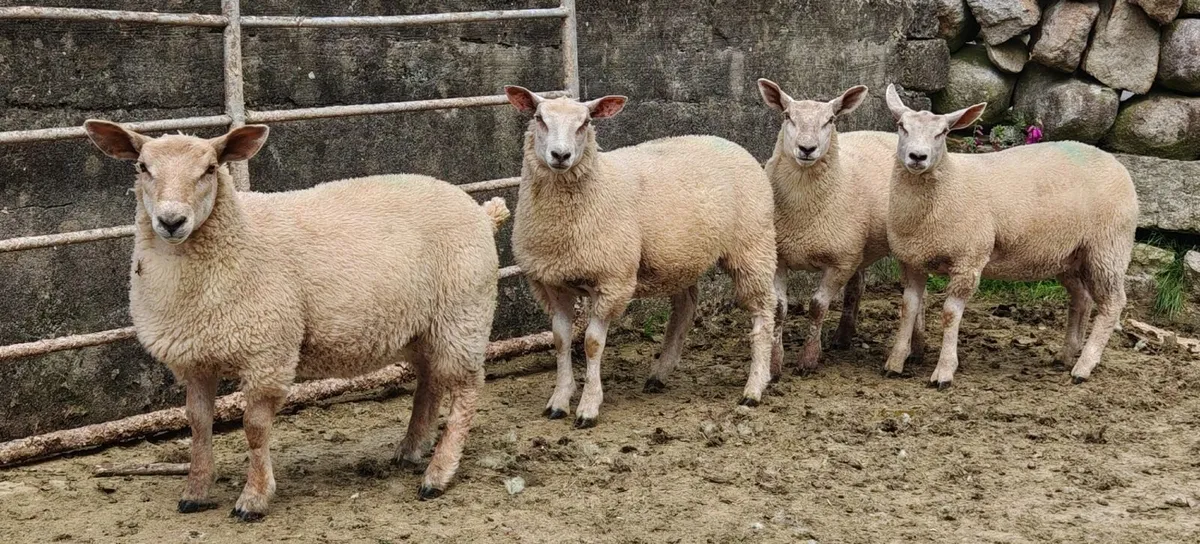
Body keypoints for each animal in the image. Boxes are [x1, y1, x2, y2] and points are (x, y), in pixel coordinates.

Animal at [82, 120, 509, 521]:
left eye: (210, 168)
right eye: (142, 167)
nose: (172, 221)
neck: (238, 237)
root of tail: (480, 212)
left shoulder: (267, 352)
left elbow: (254, 429)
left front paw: (253, 499)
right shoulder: (196, 359)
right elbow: (198, 424)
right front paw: (195, 493)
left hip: (463, 314)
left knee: (466, 390)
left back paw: (438, 473)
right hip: (424, 326)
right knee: (430, 381)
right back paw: (411, 448)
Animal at [502, 85, 777, 428]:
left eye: (585, 122)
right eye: (539, 118)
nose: (561, 156)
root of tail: (732, 143)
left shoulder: (612, 280)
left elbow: (592, 344)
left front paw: (588, 406)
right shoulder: (552, 282)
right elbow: (561, 340)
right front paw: (559, 401)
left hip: (753, 244)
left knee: (764, 311)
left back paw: (754, 387)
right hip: (680, 257)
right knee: (685, 307)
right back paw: (660, 374)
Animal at [756, 79, 900, 374]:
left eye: (831, 120)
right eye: (787, 116)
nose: (806, 148)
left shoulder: (840, 262)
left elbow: (817, 307)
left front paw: (809, 359)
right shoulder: (778, 257)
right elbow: (780, 309)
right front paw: (775, 363)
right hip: (859, 246)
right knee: (857, 286)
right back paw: (843, 337)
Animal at [881, 84, 1138, 388]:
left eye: (943, 132)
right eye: (901, 126)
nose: (917, 157)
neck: (949, 184)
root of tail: (1113, 161)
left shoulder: (969, 259)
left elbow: (950, 314)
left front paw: (944, 371)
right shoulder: (912, 260)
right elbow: (908, 308)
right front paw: (895, 362)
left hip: (1109, 247)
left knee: (1113, 304)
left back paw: (1084, 365)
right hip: (1071, 254)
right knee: (1082, 298)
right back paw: (1067, 355)